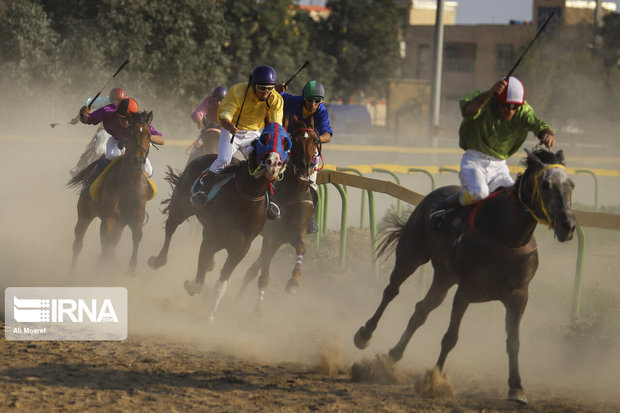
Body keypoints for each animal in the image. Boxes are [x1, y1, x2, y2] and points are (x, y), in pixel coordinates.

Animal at [66, 111, 155, 276]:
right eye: (129, 134)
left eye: (149, 135)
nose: (139, 160)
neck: (128, 183)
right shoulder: (109, 217)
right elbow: (107, 242)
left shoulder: (136, 216)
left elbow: (136, 235)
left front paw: (131, 270)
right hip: (85, 213)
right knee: (78, 243)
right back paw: (71, 274)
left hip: (119, 223)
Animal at [148, 124, 290, 320]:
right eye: (264, 139)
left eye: (284, 143)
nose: (273, 163)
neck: (245, 203)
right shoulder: (210, 237)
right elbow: (199, 280)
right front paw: (191, 285)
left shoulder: (241, 248)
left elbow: (221, 284)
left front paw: (210, 317)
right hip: (181, 206)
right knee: (171, 227)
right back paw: (158, 260)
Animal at [235, 116, 318, 308]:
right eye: (294, 140)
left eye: (314, 141)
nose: (305, 166)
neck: (292, 193)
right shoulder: (272, 235)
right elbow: (263, 275)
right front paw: (258, 307)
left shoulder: (296, 231)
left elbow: (302, 247)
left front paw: (294, 281)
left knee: (253, 269)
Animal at [354, 148, 576, 402]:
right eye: (546, 184)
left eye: (571, 185)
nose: (568, 226)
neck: (505, 235)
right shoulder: (466, 290)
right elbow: (450, 337)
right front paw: (436, 380)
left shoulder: (519, 296)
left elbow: (513, 342)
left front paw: (517, 387)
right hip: (412, 254)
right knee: (391, 291)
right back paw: (365, 334)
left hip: (444, 276)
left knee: (421, 310)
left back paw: (394, 354)